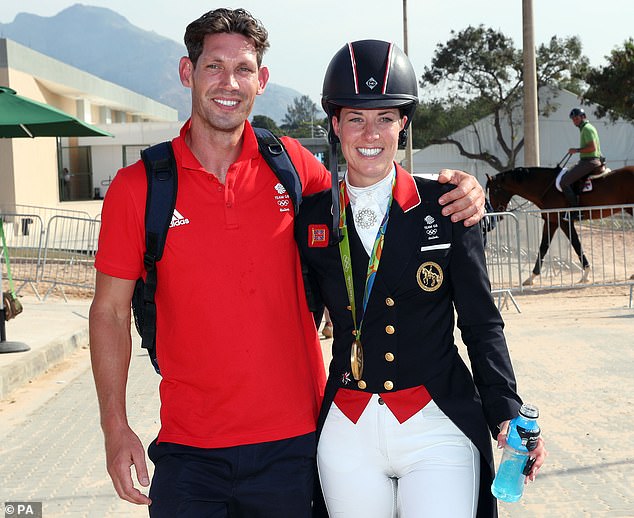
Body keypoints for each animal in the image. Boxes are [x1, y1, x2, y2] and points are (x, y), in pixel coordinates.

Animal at [486, 164, 628, 284]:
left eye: (494, 191)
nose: (496, 215)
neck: (546, 188)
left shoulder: (564, 222)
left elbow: (576, 244)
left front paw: (586, 274)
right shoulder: (551, 222)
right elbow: (543, 247)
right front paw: (531, 277)